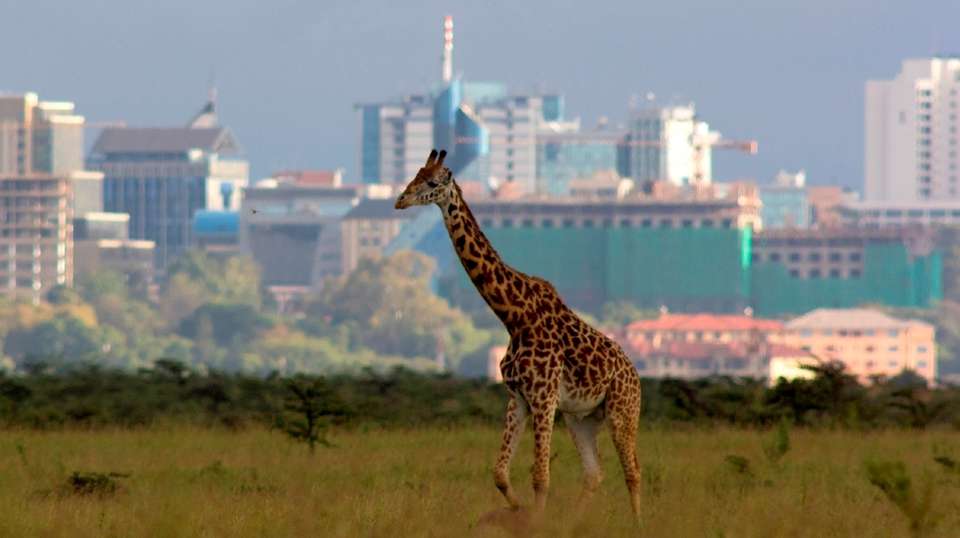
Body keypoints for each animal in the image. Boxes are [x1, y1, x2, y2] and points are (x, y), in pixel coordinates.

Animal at [395, 149, 643, 520]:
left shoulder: (544, 397)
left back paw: (638, 524)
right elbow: (500, 473)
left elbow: (540, 476)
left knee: (633, 471)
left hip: (622, 412)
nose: (401, 200)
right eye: (415, 174)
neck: (514, 317)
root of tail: (636, 377)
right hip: (581, 418)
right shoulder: (518, 398)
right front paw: (520, 512)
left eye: (432, 182)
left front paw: (534, 522)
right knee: (594, 474)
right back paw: (573, 524)